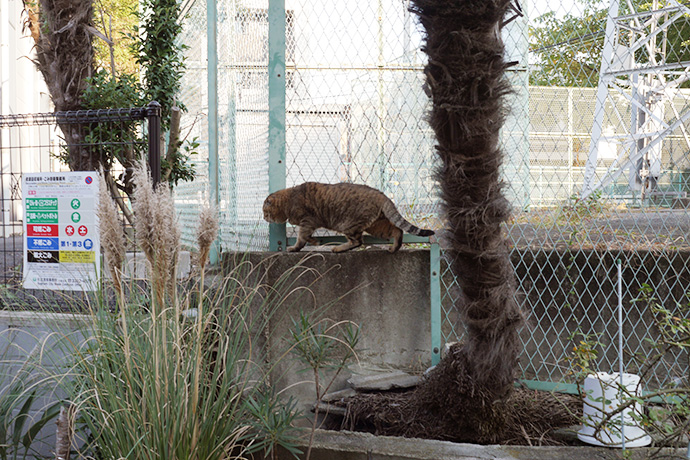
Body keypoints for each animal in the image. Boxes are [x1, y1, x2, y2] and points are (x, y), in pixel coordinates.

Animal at [260, 181, 432, 252]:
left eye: (264, 212)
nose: (263, 218)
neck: (289, 200)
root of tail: (381, 195)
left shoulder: (307, 221)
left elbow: (302, 237)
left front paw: (299, 247)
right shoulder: (309, 223)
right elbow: (305, 237)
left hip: (348, 225)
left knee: (358, 242)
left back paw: (338, 249)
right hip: (376, 226)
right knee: (397, 230)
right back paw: (394, 248)